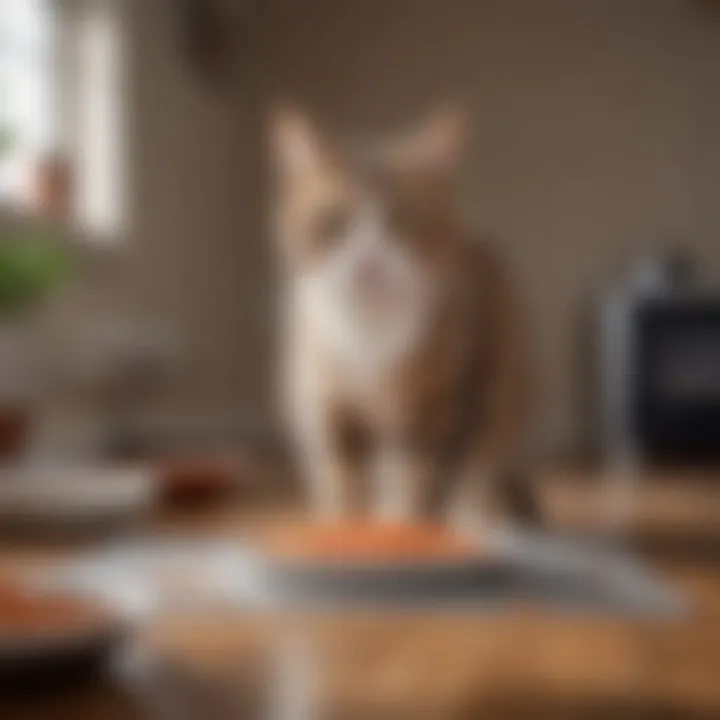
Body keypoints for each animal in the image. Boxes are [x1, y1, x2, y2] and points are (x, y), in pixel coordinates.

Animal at [268, 107, 536, 524]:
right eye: (334, 220)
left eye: (403, 218)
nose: (367, 263)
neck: (369, 333)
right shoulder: (328, 404)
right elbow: (343, 475)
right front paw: (342, 525)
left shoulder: (444, 400)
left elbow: (418, 476)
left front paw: (402, 527)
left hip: (505, 383)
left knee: (478, 465)